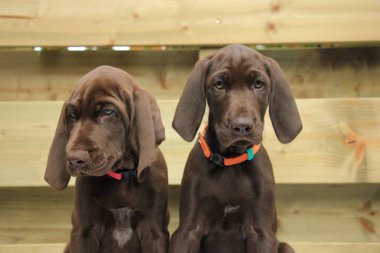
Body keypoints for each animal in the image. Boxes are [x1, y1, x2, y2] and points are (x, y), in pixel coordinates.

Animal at [45, 65, 169, 253]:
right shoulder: (84, 231)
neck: (122, 176)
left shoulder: (154, 232)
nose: (74, 159)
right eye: (72, 115)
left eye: (107, 112)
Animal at [171, 45, 302, 253]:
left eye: (259, 84)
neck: (231, 161)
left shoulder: (261, 233)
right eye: (219, 84)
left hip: (286, 247)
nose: (242, 126)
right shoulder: (188, 230)